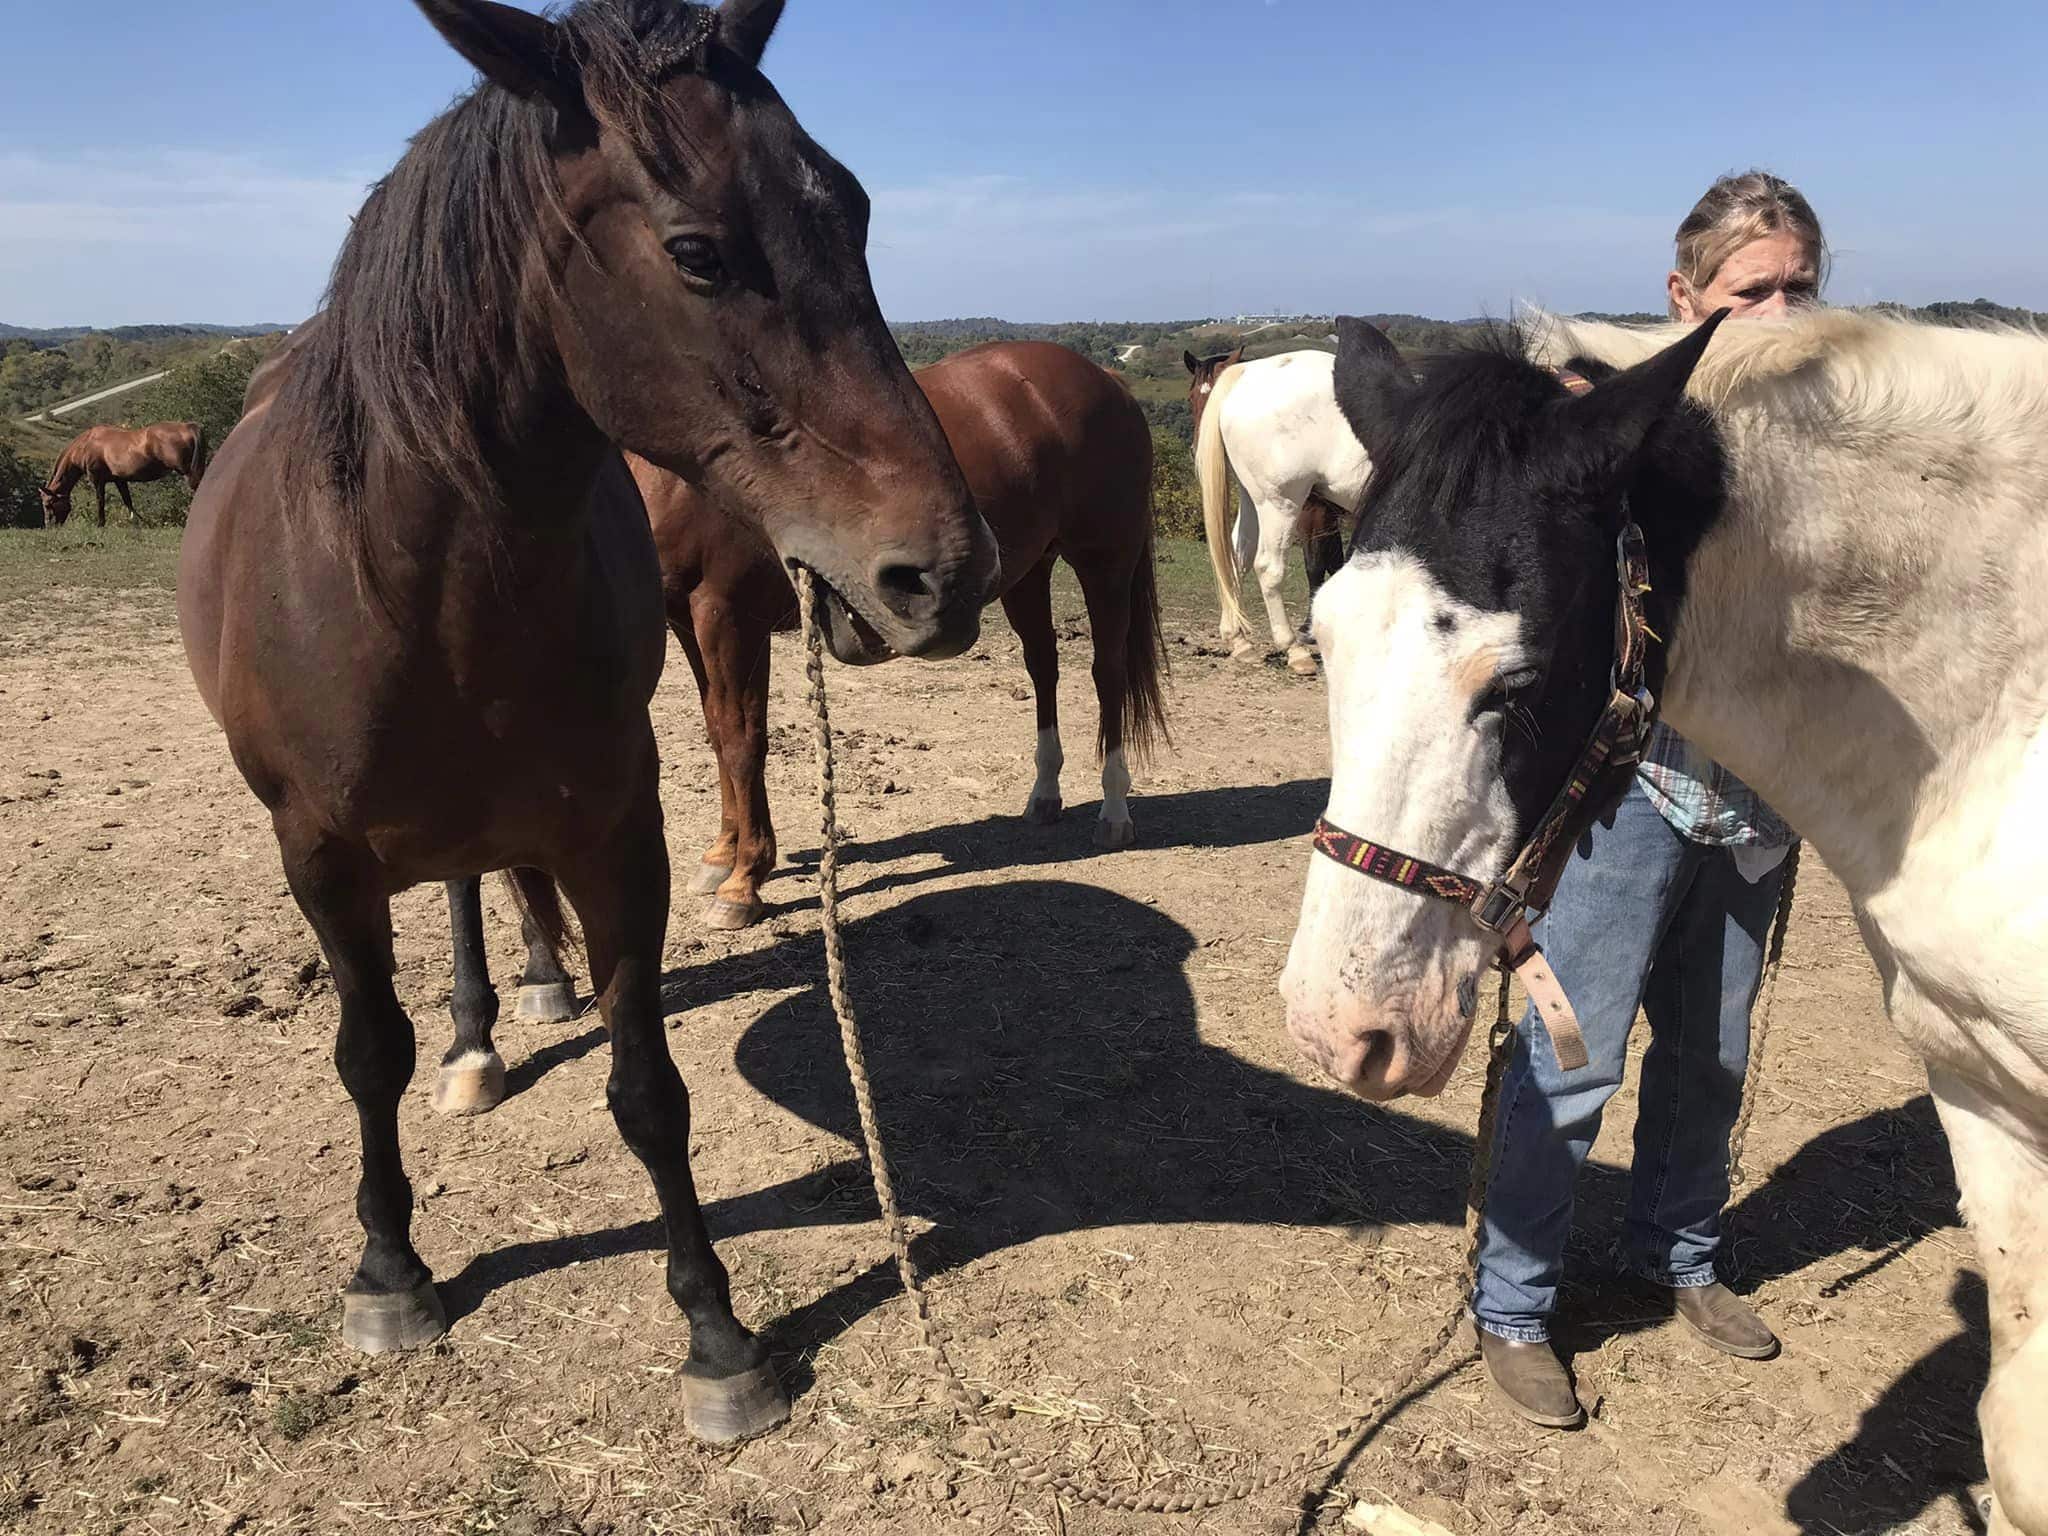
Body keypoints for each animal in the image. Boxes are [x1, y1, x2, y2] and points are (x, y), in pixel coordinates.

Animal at [40, 421, 205, 528]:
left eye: (48, 504)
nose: (50, 526)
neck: (86, 445)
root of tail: (189, 427)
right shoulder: (119, 480)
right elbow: (128, 501)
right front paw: (139, 522)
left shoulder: (97, 480)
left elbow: (100, 501)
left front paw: (100, 524)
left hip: (187, 472)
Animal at [180, 0, 995, 1458]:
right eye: (697, 252)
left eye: (852, 210)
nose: (946, 574)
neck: (405, 577)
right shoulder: (317, 858)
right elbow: (365, 1056)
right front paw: (389, 1272)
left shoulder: (619, 834)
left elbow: (649, 1090)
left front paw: (719, 1337)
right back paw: (474, 1042)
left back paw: (516, 999)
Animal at [1187, 348, 1376, 671]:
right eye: (1191, 398)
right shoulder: (1315, 514)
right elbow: (1319, 564)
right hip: (1278, 505)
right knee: (1267, 566)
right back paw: (1292, 649)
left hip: (1255, 500)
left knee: (1238, 555)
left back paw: (1239, 640)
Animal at [1277, 309, 2048, 1536]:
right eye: (1326, 638)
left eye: (1517, 683)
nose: (1340, 1026)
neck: (1995, 734)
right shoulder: (1980, 1090)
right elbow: (2015, 1439)